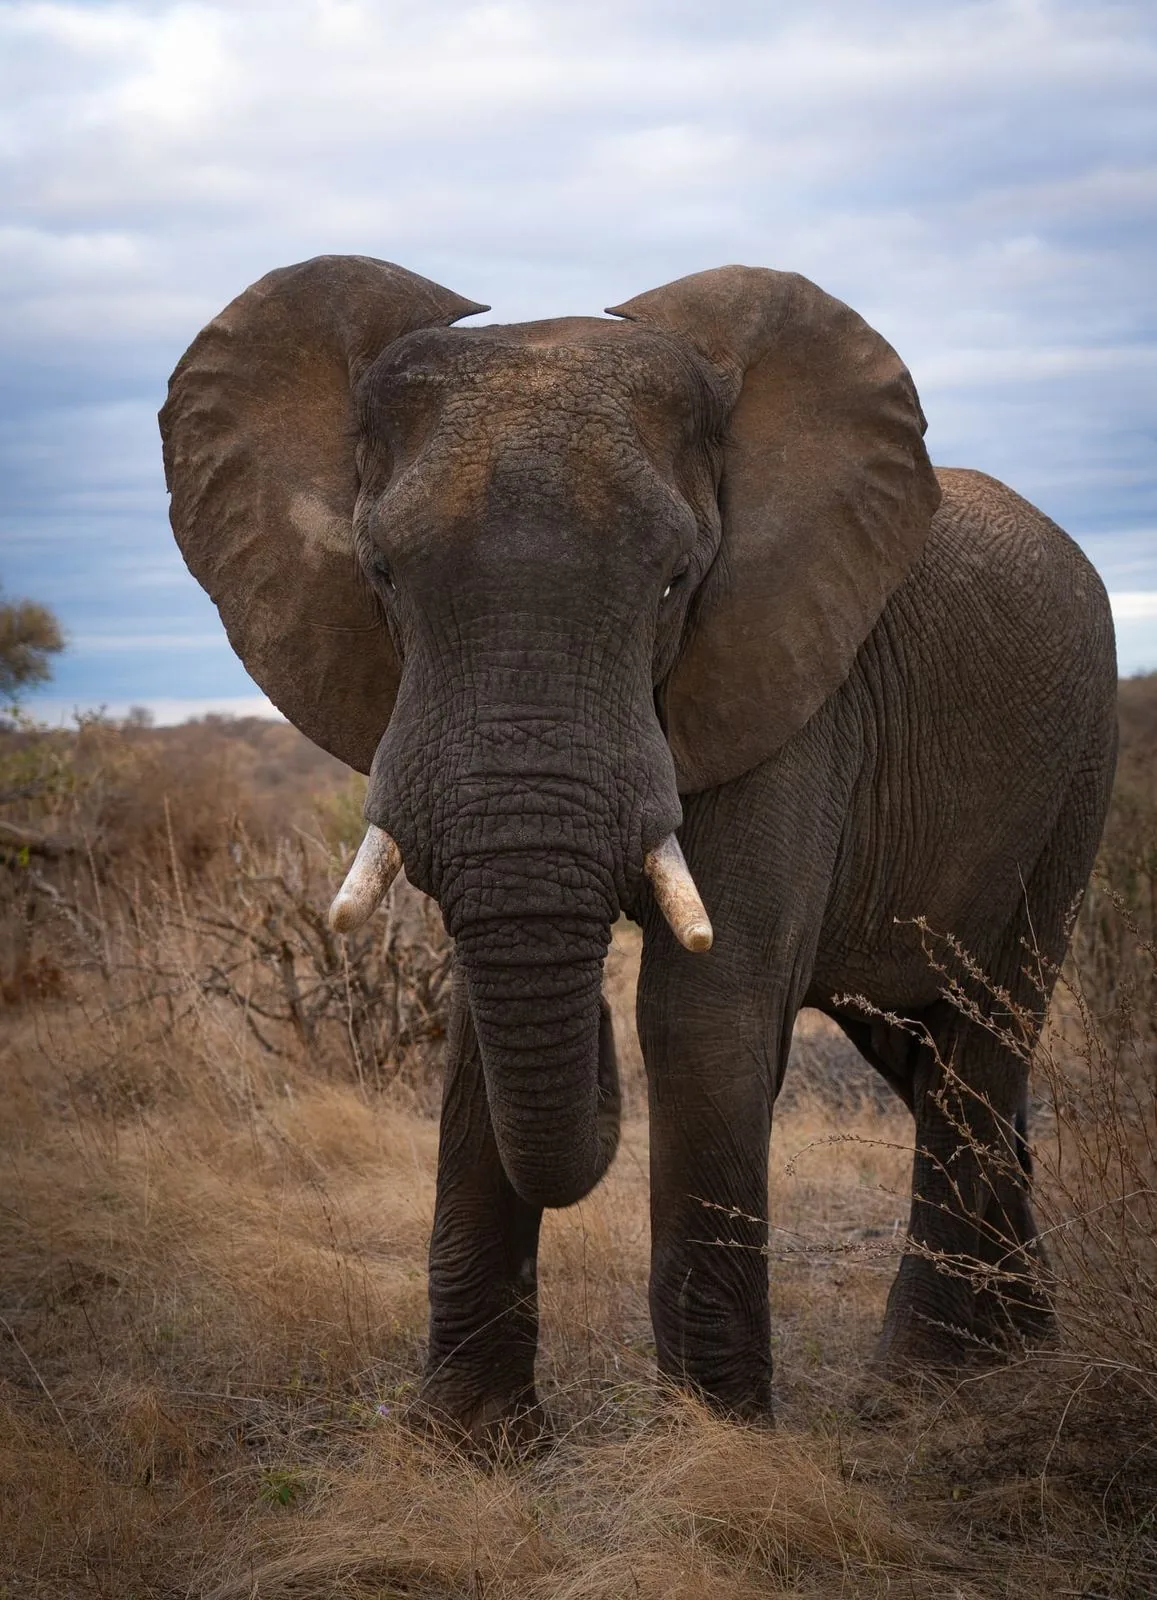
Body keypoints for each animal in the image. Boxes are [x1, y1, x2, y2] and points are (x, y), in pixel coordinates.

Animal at [160, 255, 1117, 1438]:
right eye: (379, 575)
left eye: (674, 582)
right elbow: (476, 1031)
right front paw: (470, 1444)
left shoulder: (791, 687)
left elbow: (698, 1013)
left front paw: (716, 1445)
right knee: (924, 1050)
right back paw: (1017, 1355)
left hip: (1076, 770)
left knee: (980, 1038)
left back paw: (917, 1391)